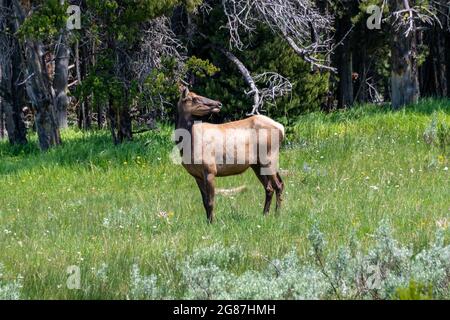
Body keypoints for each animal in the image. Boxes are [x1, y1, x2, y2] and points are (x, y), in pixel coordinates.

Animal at [176, 86, 284, 224]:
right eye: (194, 98)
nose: (218, 103)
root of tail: (282, 128)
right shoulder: (196, 175)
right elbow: (204, 202)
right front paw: (208, 221)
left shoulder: (210, 170)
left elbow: (210, 201)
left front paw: (212, 223)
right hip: (256, 164)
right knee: (269, 187)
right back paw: (264, 214)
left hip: (269, 157)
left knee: (279, 185)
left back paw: (277, 215)